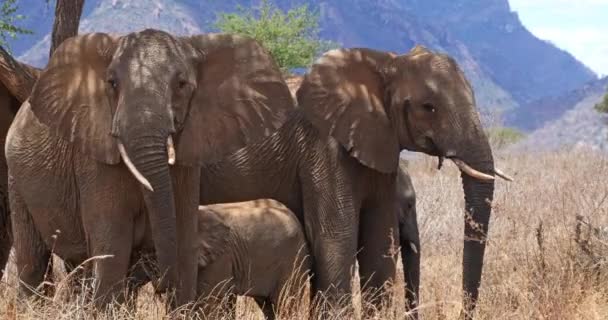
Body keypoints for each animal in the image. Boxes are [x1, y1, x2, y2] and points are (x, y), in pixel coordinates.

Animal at [2, 30, 292, 308]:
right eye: (112, 84)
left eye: (182, 85)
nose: (161, 285)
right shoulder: (95, 160)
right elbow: (113, 243)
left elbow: (184, 240)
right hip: (16, 178)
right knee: (33, 260)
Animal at [196, 45, 508, 318]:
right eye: (428, 107)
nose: (462, 313)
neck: (386, 63)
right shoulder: (323, 148)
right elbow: (336, 236)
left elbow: (379, 238)